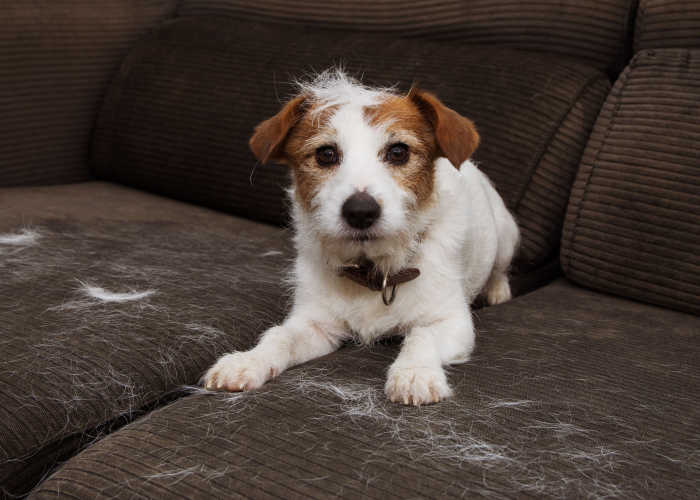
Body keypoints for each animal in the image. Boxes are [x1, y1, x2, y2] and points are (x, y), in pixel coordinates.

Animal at [202, 70, 520, 406]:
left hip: (506, 235)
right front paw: (247, 361)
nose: (360, 211)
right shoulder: (315, 324)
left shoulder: (451, 322)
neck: (374, 271)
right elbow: (279, 336)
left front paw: (414, 373)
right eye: (326, 154)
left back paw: (497, 291)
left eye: (398, 152)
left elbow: (422, 336)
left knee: (500, 268)